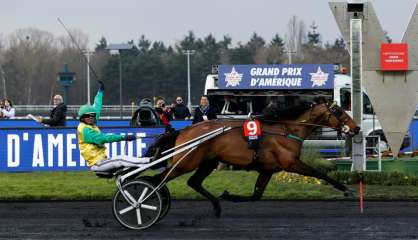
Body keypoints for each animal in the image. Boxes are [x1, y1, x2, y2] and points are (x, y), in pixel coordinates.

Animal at [150, 100, 360, 217]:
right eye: (339, 111)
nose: (356, 128)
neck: (287, 131)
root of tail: (183, 130)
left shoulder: (268, 169)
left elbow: (256, 195)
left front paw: (229, 196)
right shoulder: (291, 163)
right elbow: (320, 173)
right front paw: (347, 190)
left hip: (208, 162)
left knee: (193, 182)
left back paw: (217, 206)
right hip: (186, 162)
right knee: (158, 180)